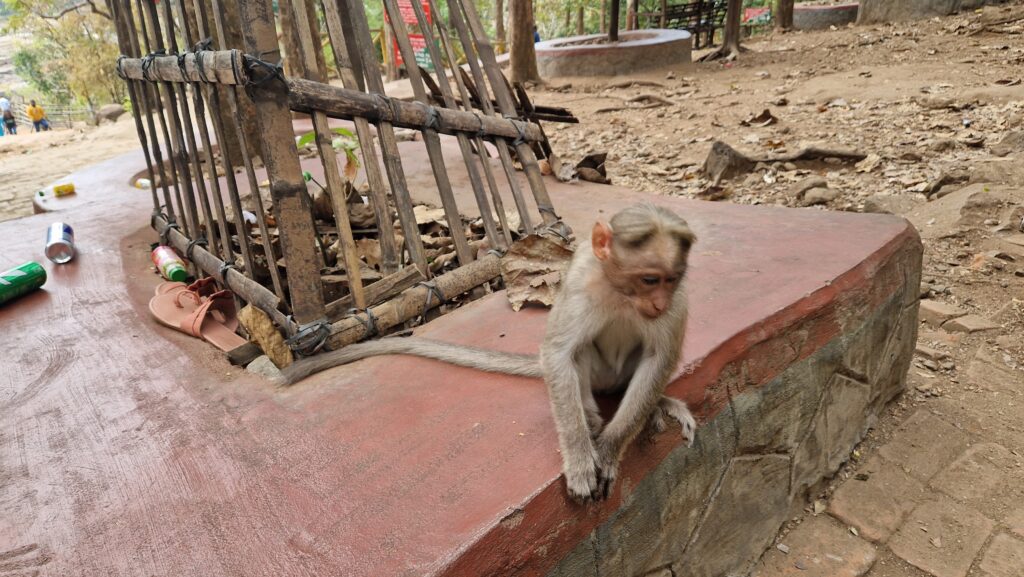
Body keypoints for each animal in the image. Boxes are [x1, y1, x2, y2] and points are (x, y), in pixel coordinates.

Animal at [276, 203, 697, 502]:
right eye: (649, 279)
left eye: (671, 280)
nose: (659, 303)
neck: (620, 291)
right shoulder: (580, 281)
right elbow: (558, 354)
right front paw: (581, 459)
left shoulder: (676, 303)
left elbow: (659, 358)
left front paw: (609, 451)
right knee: (576, 353)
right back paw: (592, 415)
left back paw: (655, 406)